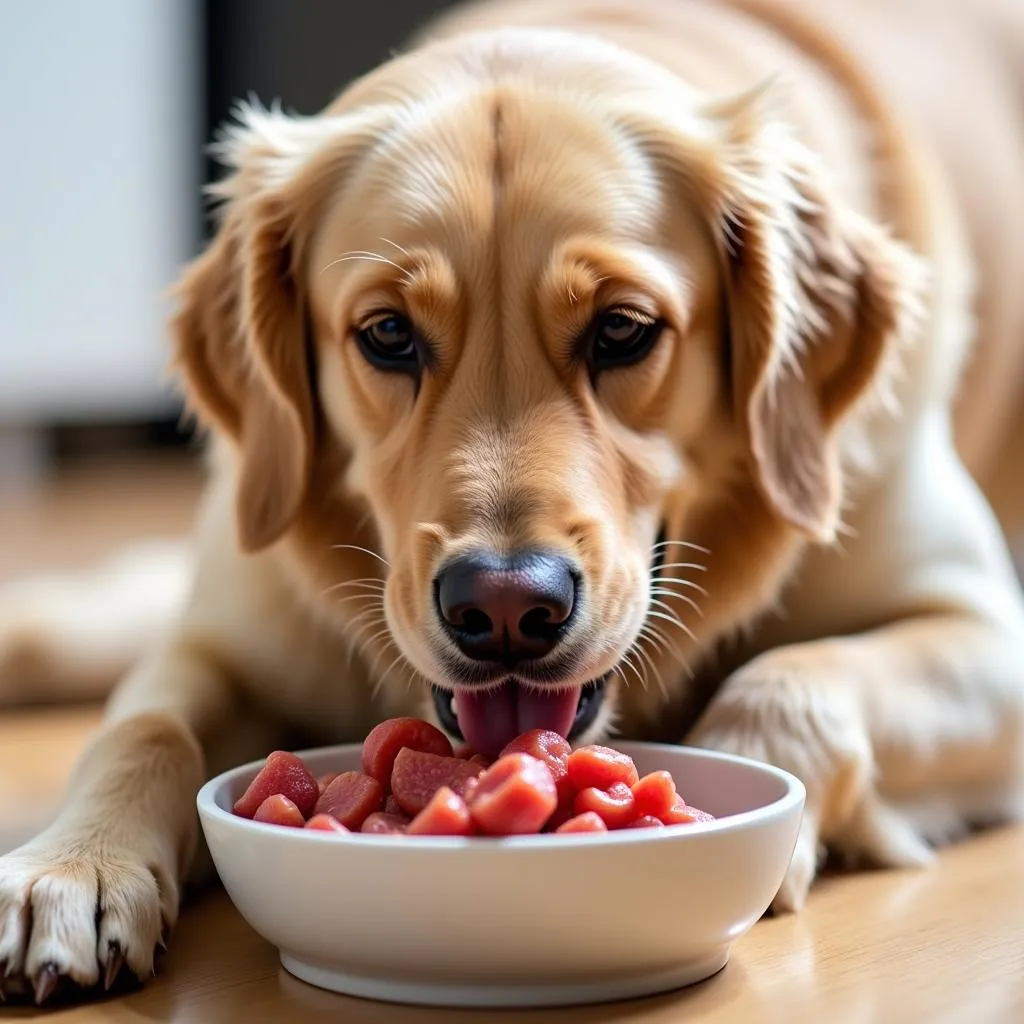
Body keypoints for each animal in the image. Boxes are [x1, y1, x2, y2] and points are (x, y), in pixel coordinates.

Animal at [2, 0, 1024, 1003]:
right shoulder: (227, 637)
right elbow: (143, 729)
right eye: (386, 334)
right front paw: (72, 867)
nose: (502, 608)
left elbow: (794, 675)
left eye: (623, 329)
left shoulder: (987, 630)